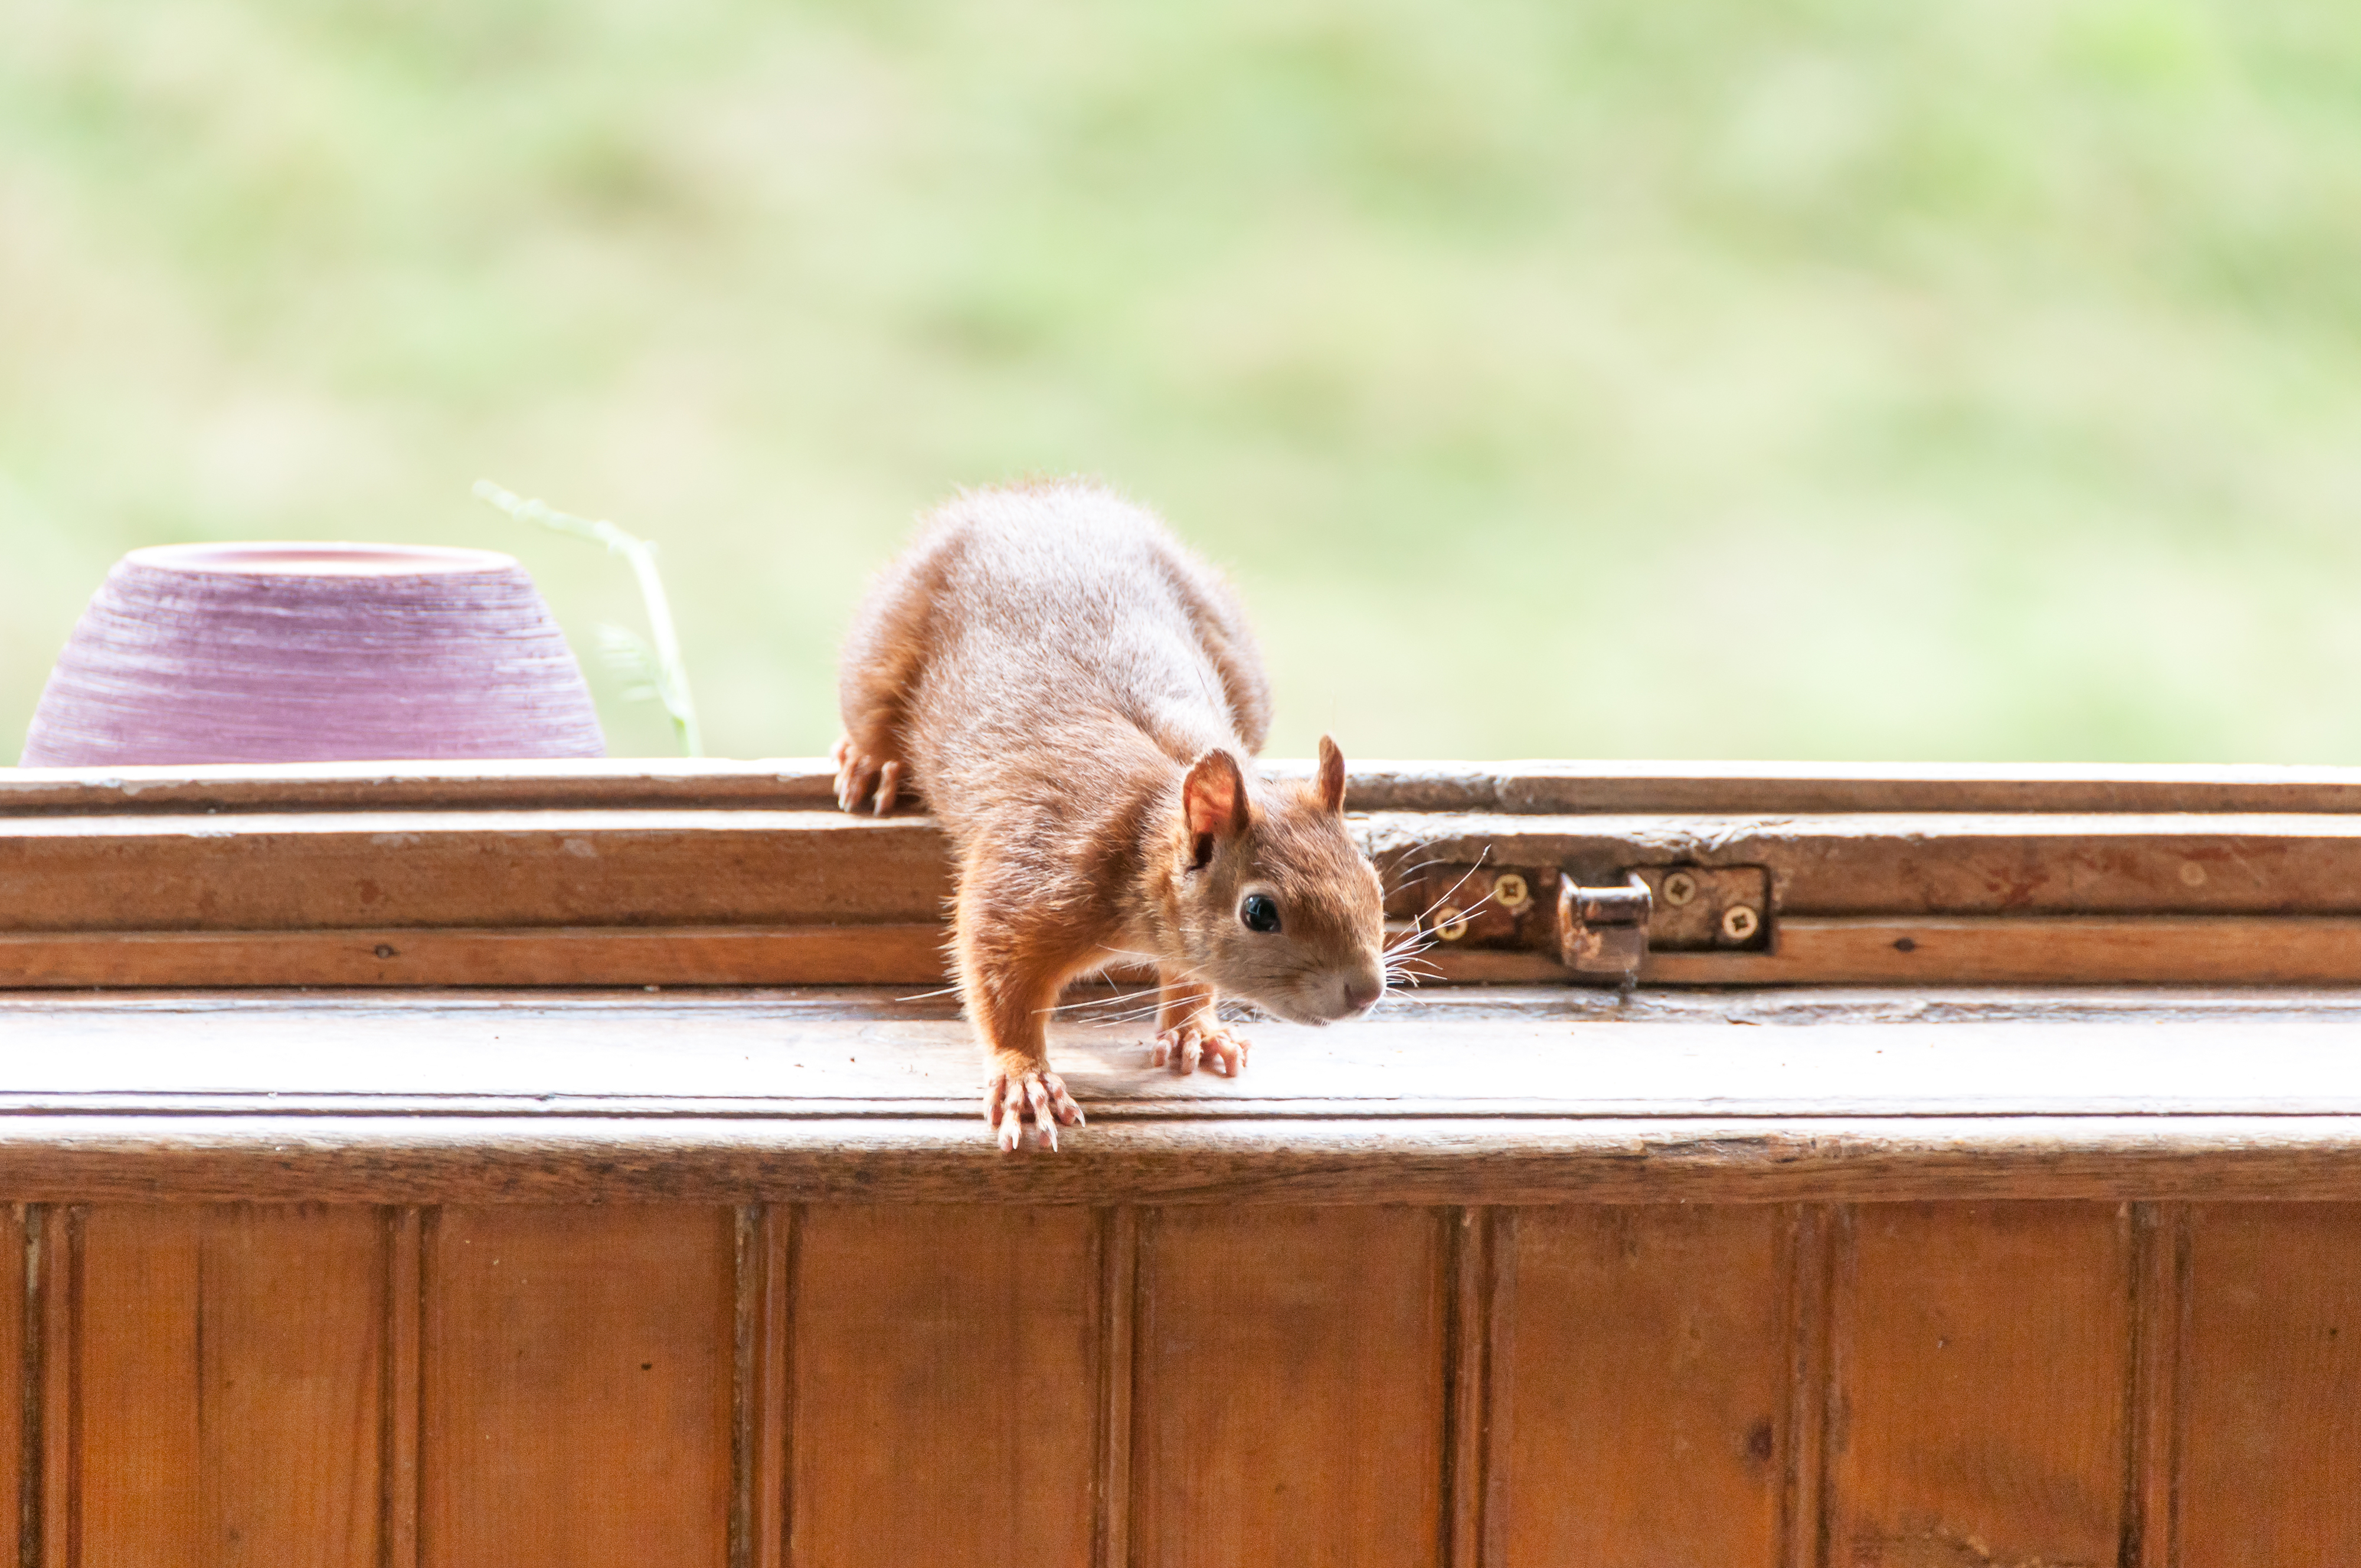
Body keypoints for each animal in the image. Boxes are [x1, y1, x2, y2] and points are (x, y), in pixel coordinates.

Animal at [836, 477, 1379, 1152]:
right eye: (1259, 912)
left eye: (1372, 879)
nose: (1367, 991)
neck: (1144, 823)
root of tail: (1032, 498)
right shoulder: (1037, 864)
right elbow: (995, 972)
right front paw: (1024, 1076)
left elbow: (1189, 972)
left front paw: (1195, 1028)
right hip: (883, 645)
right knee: (873, 710)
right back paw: (872, 763)